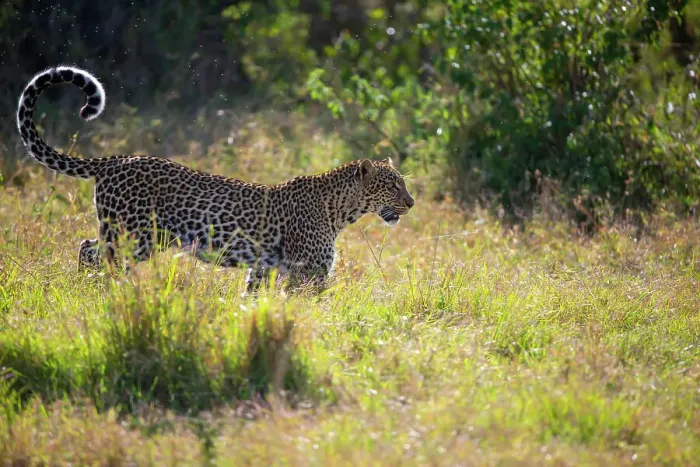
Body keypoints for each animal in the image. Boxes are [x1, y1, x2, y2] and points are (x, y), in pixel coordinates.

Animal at [16, 65, 415, 291]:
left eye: (401, 183)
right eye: (391, 184)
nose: (411, 203)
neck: (341, 210)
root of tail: (114, 160)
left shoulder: (264, 269)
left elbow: (256, 299)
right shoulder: (308, 272)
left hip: (139, 237)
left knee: (87, 247)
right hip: (132, 237)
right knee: (96, 255)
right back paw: (103, 294)